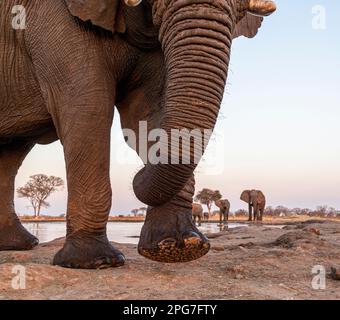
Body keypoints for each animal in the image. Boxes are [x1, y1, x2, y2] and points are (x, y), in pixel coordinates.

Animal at [0, 0, 274, 268]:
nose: (137, 175)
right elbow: (87, 107)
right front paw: (96, 262)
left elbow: (151, 113)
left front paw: (179, 248)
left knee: (12, 151)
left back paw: (17, 244)